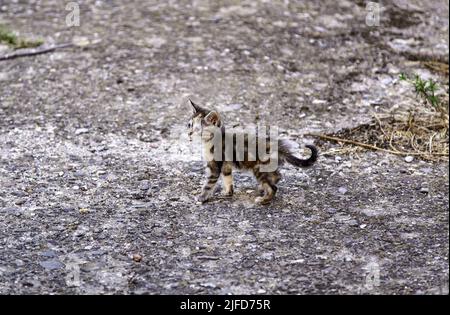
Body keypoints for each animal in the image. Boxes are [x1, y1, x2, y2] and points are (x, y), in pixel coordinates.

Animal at [186, 100, 316, 206]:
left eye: (198, 130)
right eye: (189, 125)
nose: (189, 134)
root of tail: (279, 147)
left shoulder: (215, 166)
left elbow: (209, 183)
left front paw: (202, 197)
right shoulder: (226, 165)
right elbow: (228, 178)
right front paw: (228, 192)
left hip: (259, 168)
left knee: (274, 187)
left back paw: (264, 200)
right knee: (277, 176)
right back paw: (263, 189)